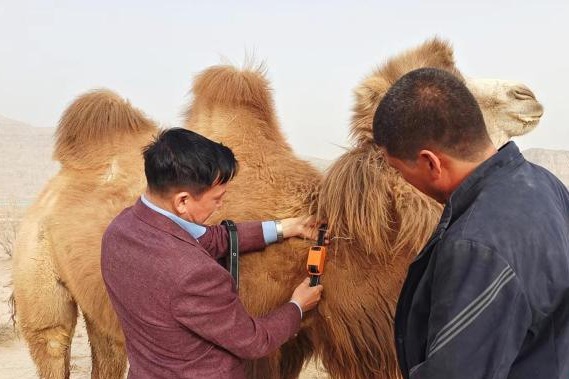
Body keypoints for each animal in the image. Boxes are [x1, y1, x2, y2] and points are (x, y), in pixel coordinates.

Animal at [8, 36, 540, 379]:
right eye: (446, 85)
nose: (528, 94)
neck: (335, 241)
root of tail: (51, 189)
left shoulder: (294, 341)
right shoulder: (253, 336)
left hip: (101, 306)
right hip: (37, 274)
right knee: (52, 340)